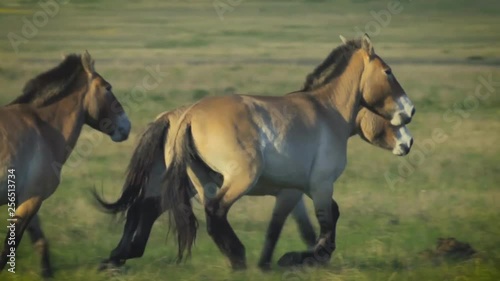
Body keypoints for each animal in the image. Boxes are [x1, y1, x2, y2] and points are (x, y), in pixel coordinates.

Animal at [0, 51, 131, 276]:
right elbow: (9, 248)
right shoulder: (31, 199)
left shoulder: (25, 199)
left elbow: (40, 243)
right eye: (107, 88)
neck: (42, 129)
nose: (127, 126)